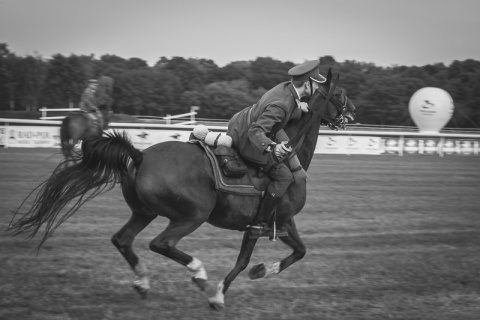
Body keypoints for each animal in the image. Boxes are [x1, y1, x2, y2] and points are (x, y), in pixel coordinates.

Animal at [9, 70, 356, 310]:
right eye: (340, 93)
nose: (352, 114)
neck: (288, 154)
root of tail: (140, 155)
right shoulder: (263, 224)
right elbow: (243, 262)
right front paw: (219, 294)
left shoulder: (282, 222)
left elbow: (299, 251)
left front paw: (262, 270)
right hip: (191, 217)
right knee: (161, 243)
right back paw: (199, 274)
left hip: (144, 212)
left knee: (122, 240)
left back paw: (143, 281)